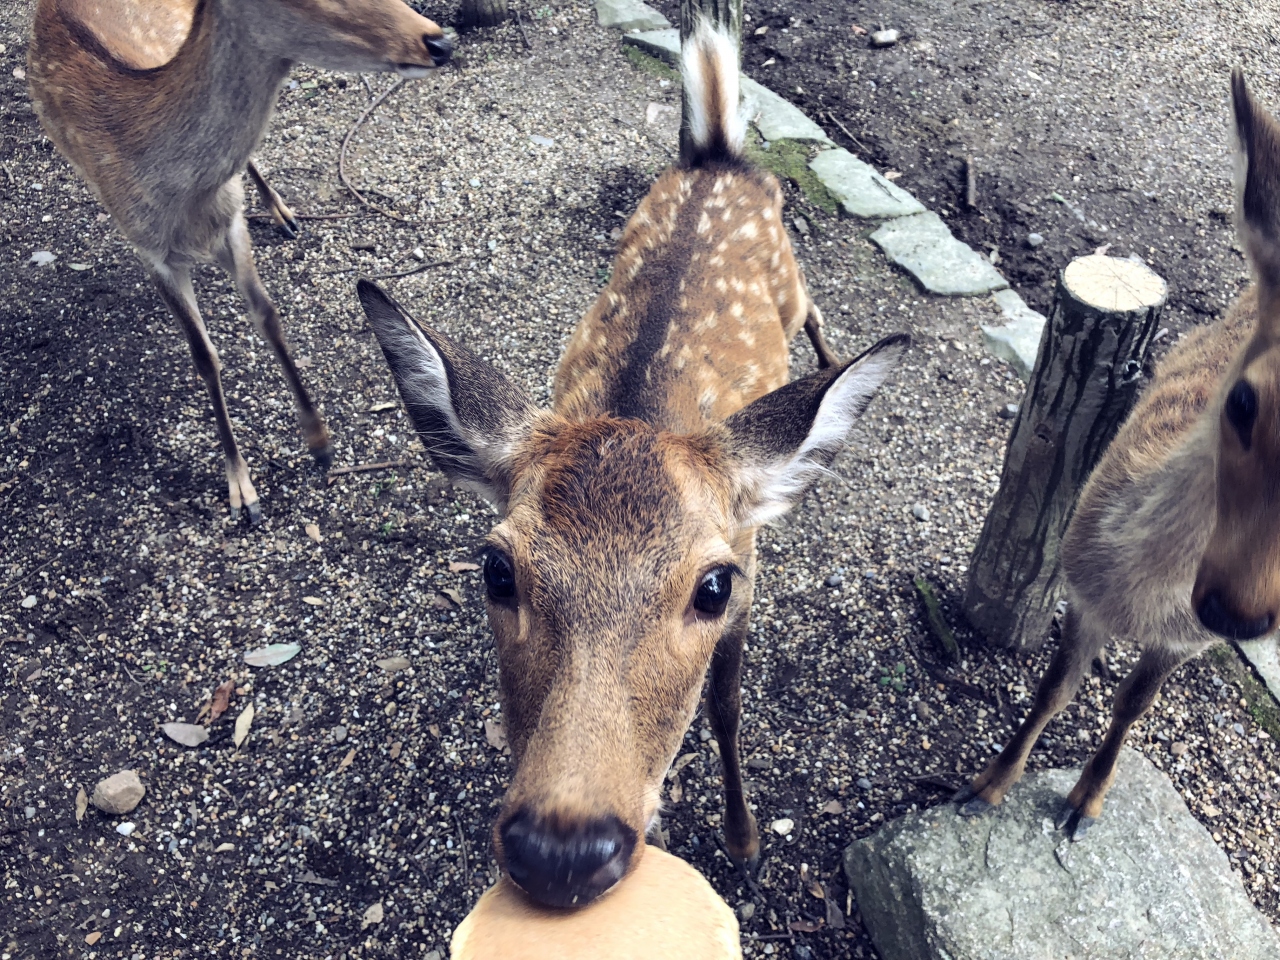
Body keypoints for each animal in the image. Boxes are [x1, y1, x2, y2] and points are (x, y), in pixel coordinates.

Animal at [23, 0, 455, 522]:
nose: (439, 41)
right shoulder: (149, 249)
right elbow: (204, 356)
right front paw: (242, 492)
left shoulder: (232, 222)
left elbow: (267, 314)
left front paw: (320, 441)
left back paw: (284, 212)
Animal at [355, 20, 906, 911]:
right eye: (495, 568)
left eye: (712, 587)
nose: (562, 850)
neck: (639, 412)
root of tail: (718, 153)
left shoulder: (751, 559)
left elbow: (726, 704)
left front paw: (745, 841)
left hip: (790, 275)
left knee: (816, 306)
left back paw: (830, 361)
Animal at [957, 71, 1280, 839]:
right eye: (1242, 402)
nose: (1241, 615)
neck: (1145, 600)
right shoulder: (1081, 590)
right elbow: (1053, 688)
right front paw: (985, 785)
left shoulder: (1189, 643)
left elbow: (1134, 704)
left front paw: (1085, 802)